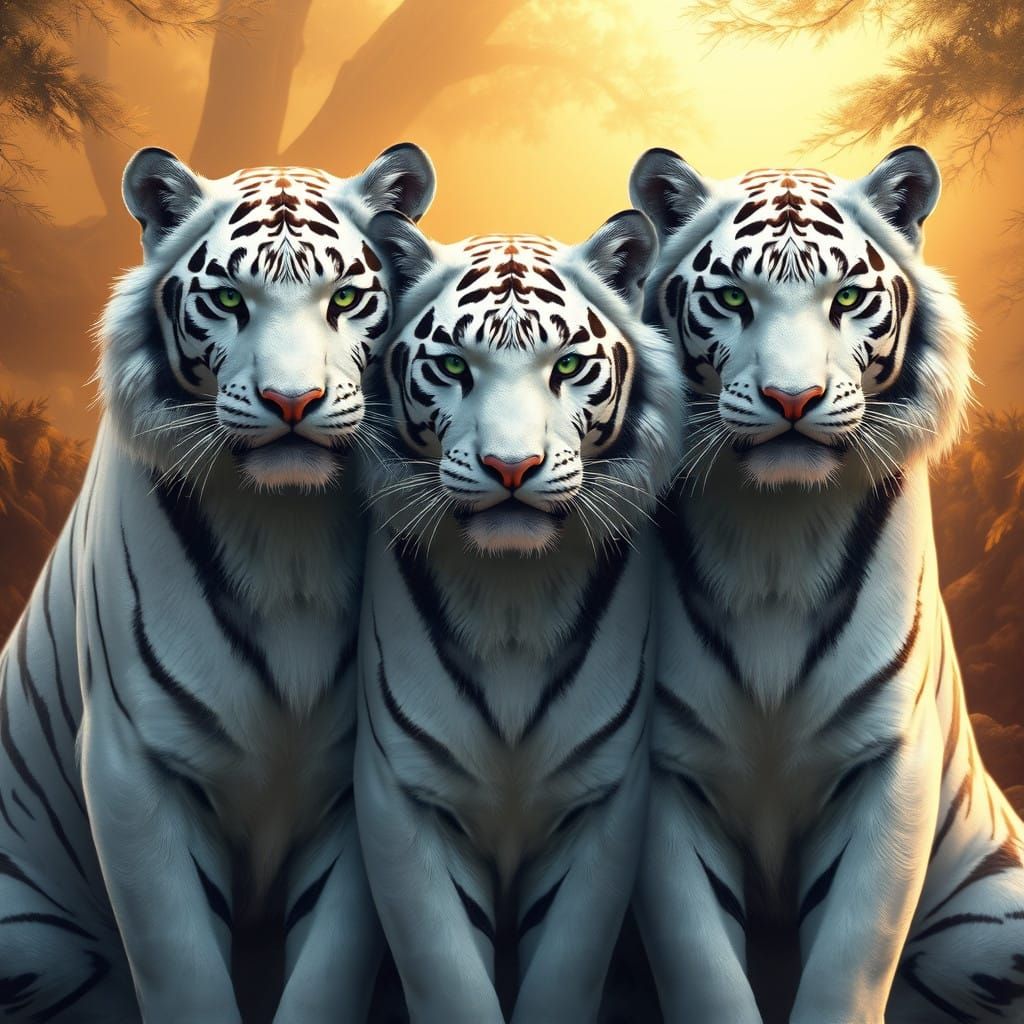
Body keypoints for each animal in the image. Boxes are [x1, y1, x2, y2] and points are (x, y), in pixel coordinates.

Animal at [0, 142, 434, 1023]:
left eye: (344, 297)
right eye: (231, 298)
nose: (292, 402)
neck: (288, 532)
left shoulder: (357, 787)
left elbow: (329, 975)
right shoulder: (136, 765)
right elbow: (183, 971)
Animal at [353, 208, 682, 1023]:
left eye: (566, 366)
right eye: (452, 367)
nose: (510, 468)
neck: (511, 595)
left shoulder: (602, 803)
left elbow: (567, 970)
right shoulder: (402, 797)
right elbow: (446, 978)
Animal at [628, 142, 1024, 1024]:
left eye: (846, 297)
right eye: (732, 297)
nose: (793, 398)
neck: (775, 527)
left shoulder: (886, 759)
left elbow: (851, 956)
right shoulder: (667, 771)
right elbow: (701, 967)